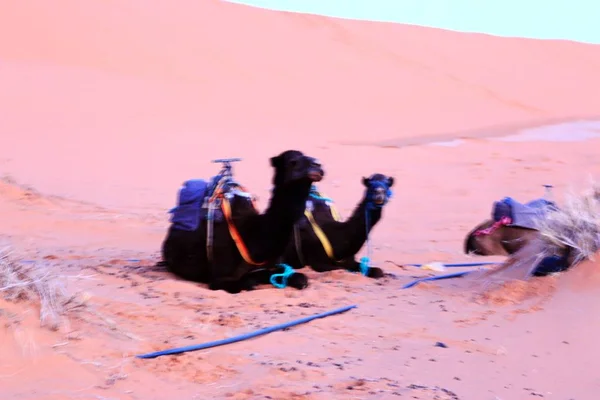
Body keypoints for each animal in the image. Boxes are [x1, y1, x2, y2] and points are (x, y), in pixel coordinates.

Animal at [161, 150, 324, 294]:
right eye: (293, 161)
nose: (318, 166)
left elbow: (299, 277)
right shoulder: (220, 277)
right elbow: (244, 283)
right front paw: (251, 281)